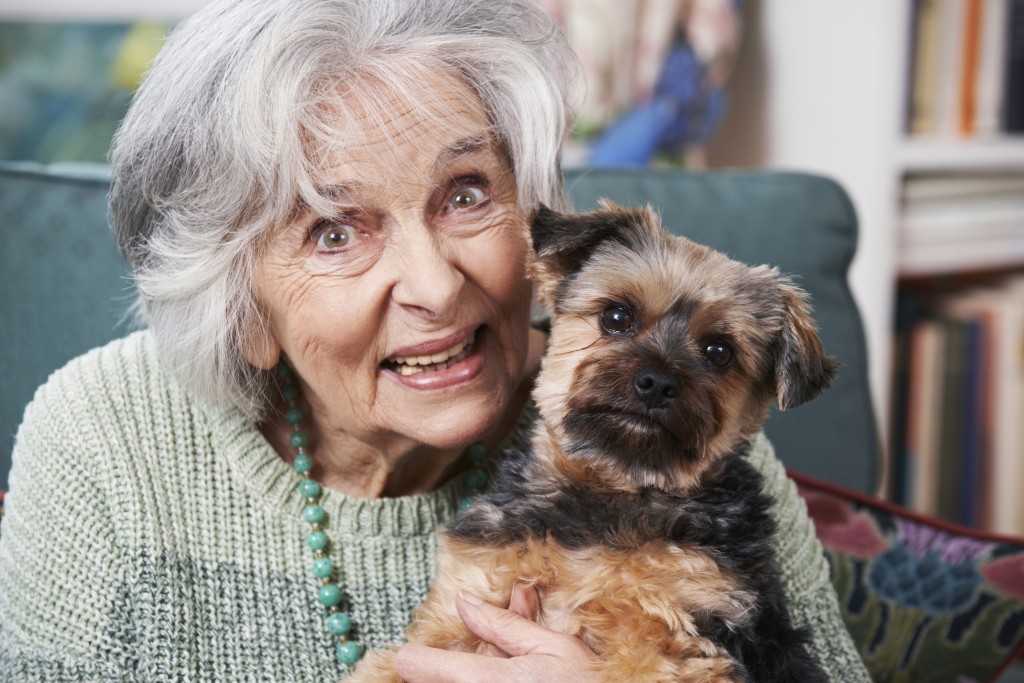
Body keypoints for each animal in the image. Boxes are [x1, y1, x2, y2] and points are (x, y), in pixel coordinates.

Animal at [350, 200, 831, 679]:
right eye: (616, 317)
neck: (613, 489)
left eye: (720, 352)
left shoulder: (676, 632)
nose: (656, 383)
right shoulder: (464, 600)